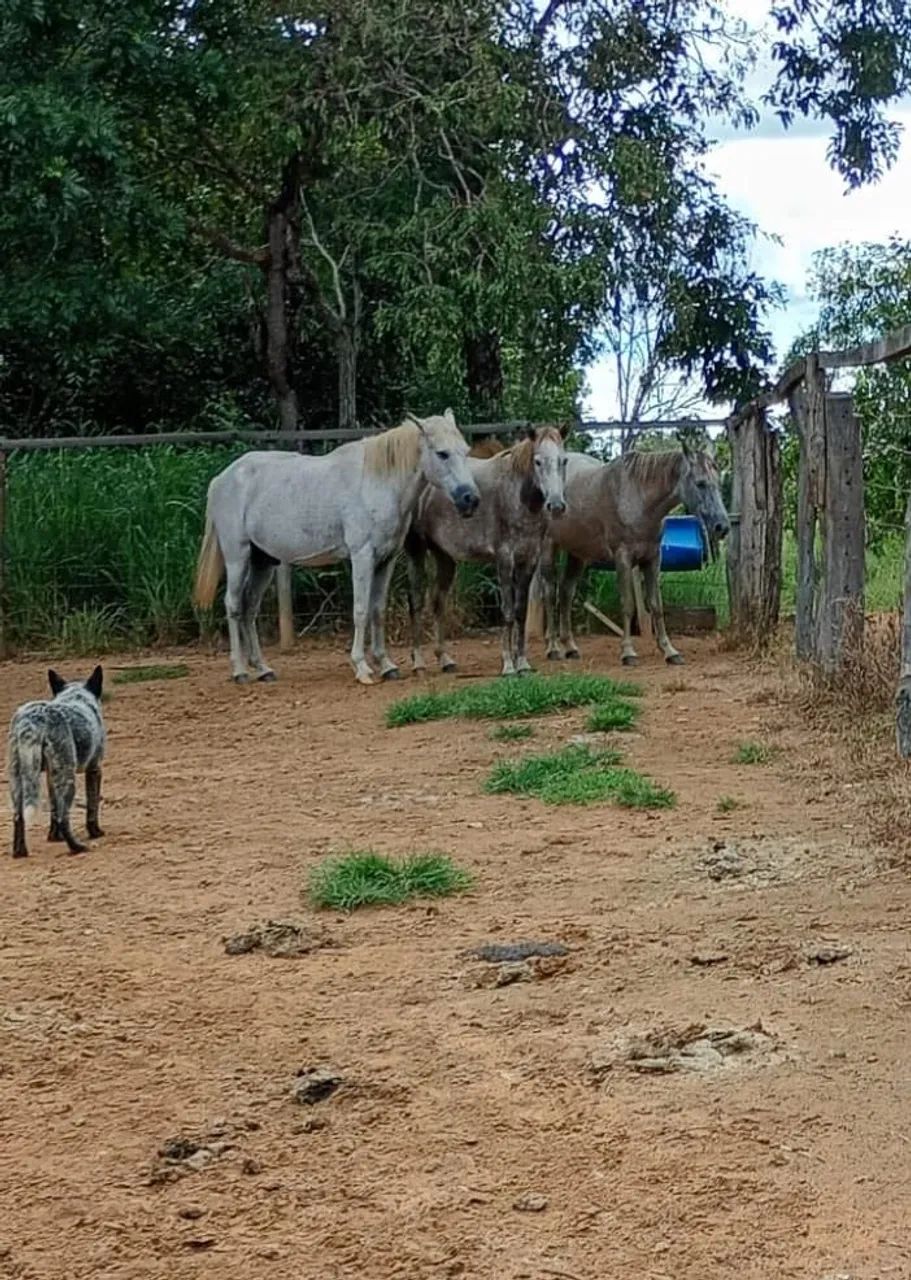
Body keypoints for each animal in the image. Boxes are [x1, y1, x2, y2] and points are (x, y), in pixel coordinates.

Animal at [193, 411, 480, 685]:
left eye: (465, 451)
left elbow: (378, 610)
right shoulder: (362, 556)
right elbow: (361, 610)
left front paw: (386, 665)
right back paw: (240, 671)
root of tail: (222, 479)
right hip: (237, 556)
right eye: (442, 453)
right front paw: (362, 668)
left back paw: (263, 670)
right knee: (233, 606)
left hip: (263, 561)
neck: (377, 484)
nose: (471, 499)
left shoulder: (385, 560)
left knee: (249, 607)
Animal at [406, 426, 568, 677]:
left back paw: (445, 660)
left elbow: (521, 612)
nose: (556, 505)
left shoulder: (529, 559)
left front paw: (523, 663)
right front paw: (508, 665)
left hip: (444, 557)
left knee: (438, 602)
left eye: (564, 460)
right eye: (538, 461)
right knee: (416, 603)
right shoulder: (505, 559)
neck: (516, 497)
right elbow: (508, 611)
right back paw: (419, 663)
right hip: (416, 551)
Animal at [537, 443, 729, 666]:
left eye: (718, 483)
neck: (638, 498)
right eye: (700, 484)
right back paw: (553, 648)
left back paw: (571, 648)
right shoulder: (623, 558)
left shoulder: (653, 559)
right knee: (549, 594)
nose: (722, 527)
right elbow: (628, 605)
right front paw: (628, 652)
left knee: (566, 592)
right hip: (548, 548)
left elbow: (656, 605)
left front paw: (670, 651)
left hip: (578, 554)